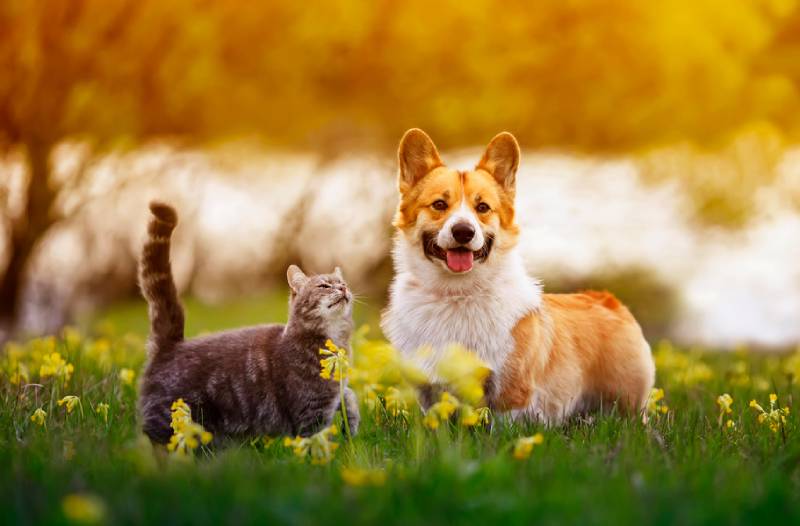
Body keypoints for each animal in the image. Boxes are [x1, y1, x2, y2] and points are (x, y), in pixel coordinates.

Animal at [138, 202, 360, 446]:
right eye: (324, 286)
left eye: (343, 283)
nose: (343, 288)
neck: (333, 339)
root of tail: (171, 345)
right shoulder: (311, 411)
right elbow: (318, 440)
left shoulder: (335, 393)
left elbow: (349, 396)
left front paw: (351, 423)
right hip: (170, 421)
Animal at [382, 129, 656, 424]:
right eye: (439, 204)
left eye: (483, 207)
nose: (463, 232)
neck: (456, 294)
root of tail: (608, 300)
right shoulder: (429, 392)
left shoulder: (511, 393)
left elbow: (502, 427)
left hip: (626, 403)